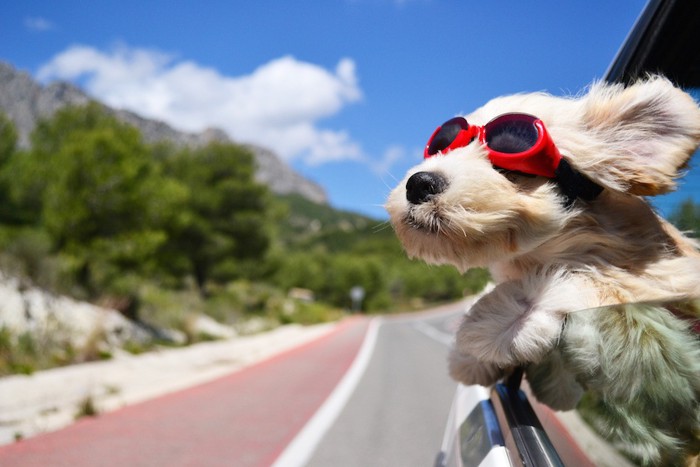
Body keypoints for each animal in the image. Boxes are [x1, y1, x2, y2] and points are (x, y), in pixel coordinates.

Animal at [386, 77, 696, 467]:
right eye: (441, 146)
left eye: (510, 163)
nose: (419, 182)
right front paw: (472, 354)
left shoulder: (668, 281)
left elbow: (603, 283)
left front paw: (497, 323)